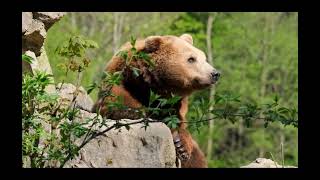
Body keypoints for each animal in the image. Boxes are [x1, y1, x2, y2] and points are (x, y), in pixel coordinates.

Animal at [92, 33, 220, 167]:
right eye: (191, 59)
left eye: (204, 58)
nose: (215, 73)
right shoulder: (120, 78)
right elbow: (117, 103)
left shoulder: (175, 104)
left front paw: (181, 146)